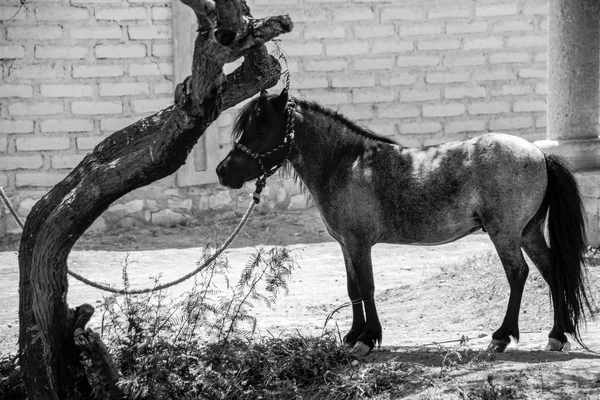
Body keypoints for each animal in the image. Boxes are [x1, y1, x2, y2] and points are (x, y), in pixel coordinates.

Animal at [214, 90, 592, 356]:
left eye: (262, 127)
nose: (223, 171)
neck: (345, 164)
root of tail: (539, 153)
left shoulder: (359, 243)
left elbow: (366, 287)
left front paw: (367, 340)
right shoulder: (346, 244)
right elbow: (352, 289)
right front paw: (352, 336)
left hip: (505, 234)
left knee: (518, 274)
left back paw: (501, 338)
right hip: (528, 233)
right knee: (552, 270)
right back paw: (556, 336)